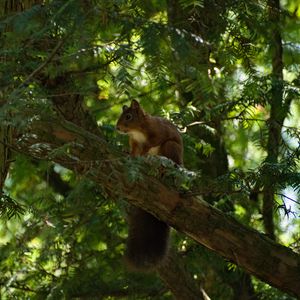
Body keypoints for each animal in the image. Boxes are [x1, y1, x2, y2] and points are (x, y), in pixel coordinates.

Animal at [116, 99, 183, 270]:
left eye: (128, 116)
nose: (117, 128)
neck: (137, 131)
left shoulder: (159, 132)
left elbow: (153, 142)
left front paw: (144, 151)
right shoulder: (133, 141)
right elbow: (134, 151)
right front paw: (129, 154)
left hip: (170, 148)